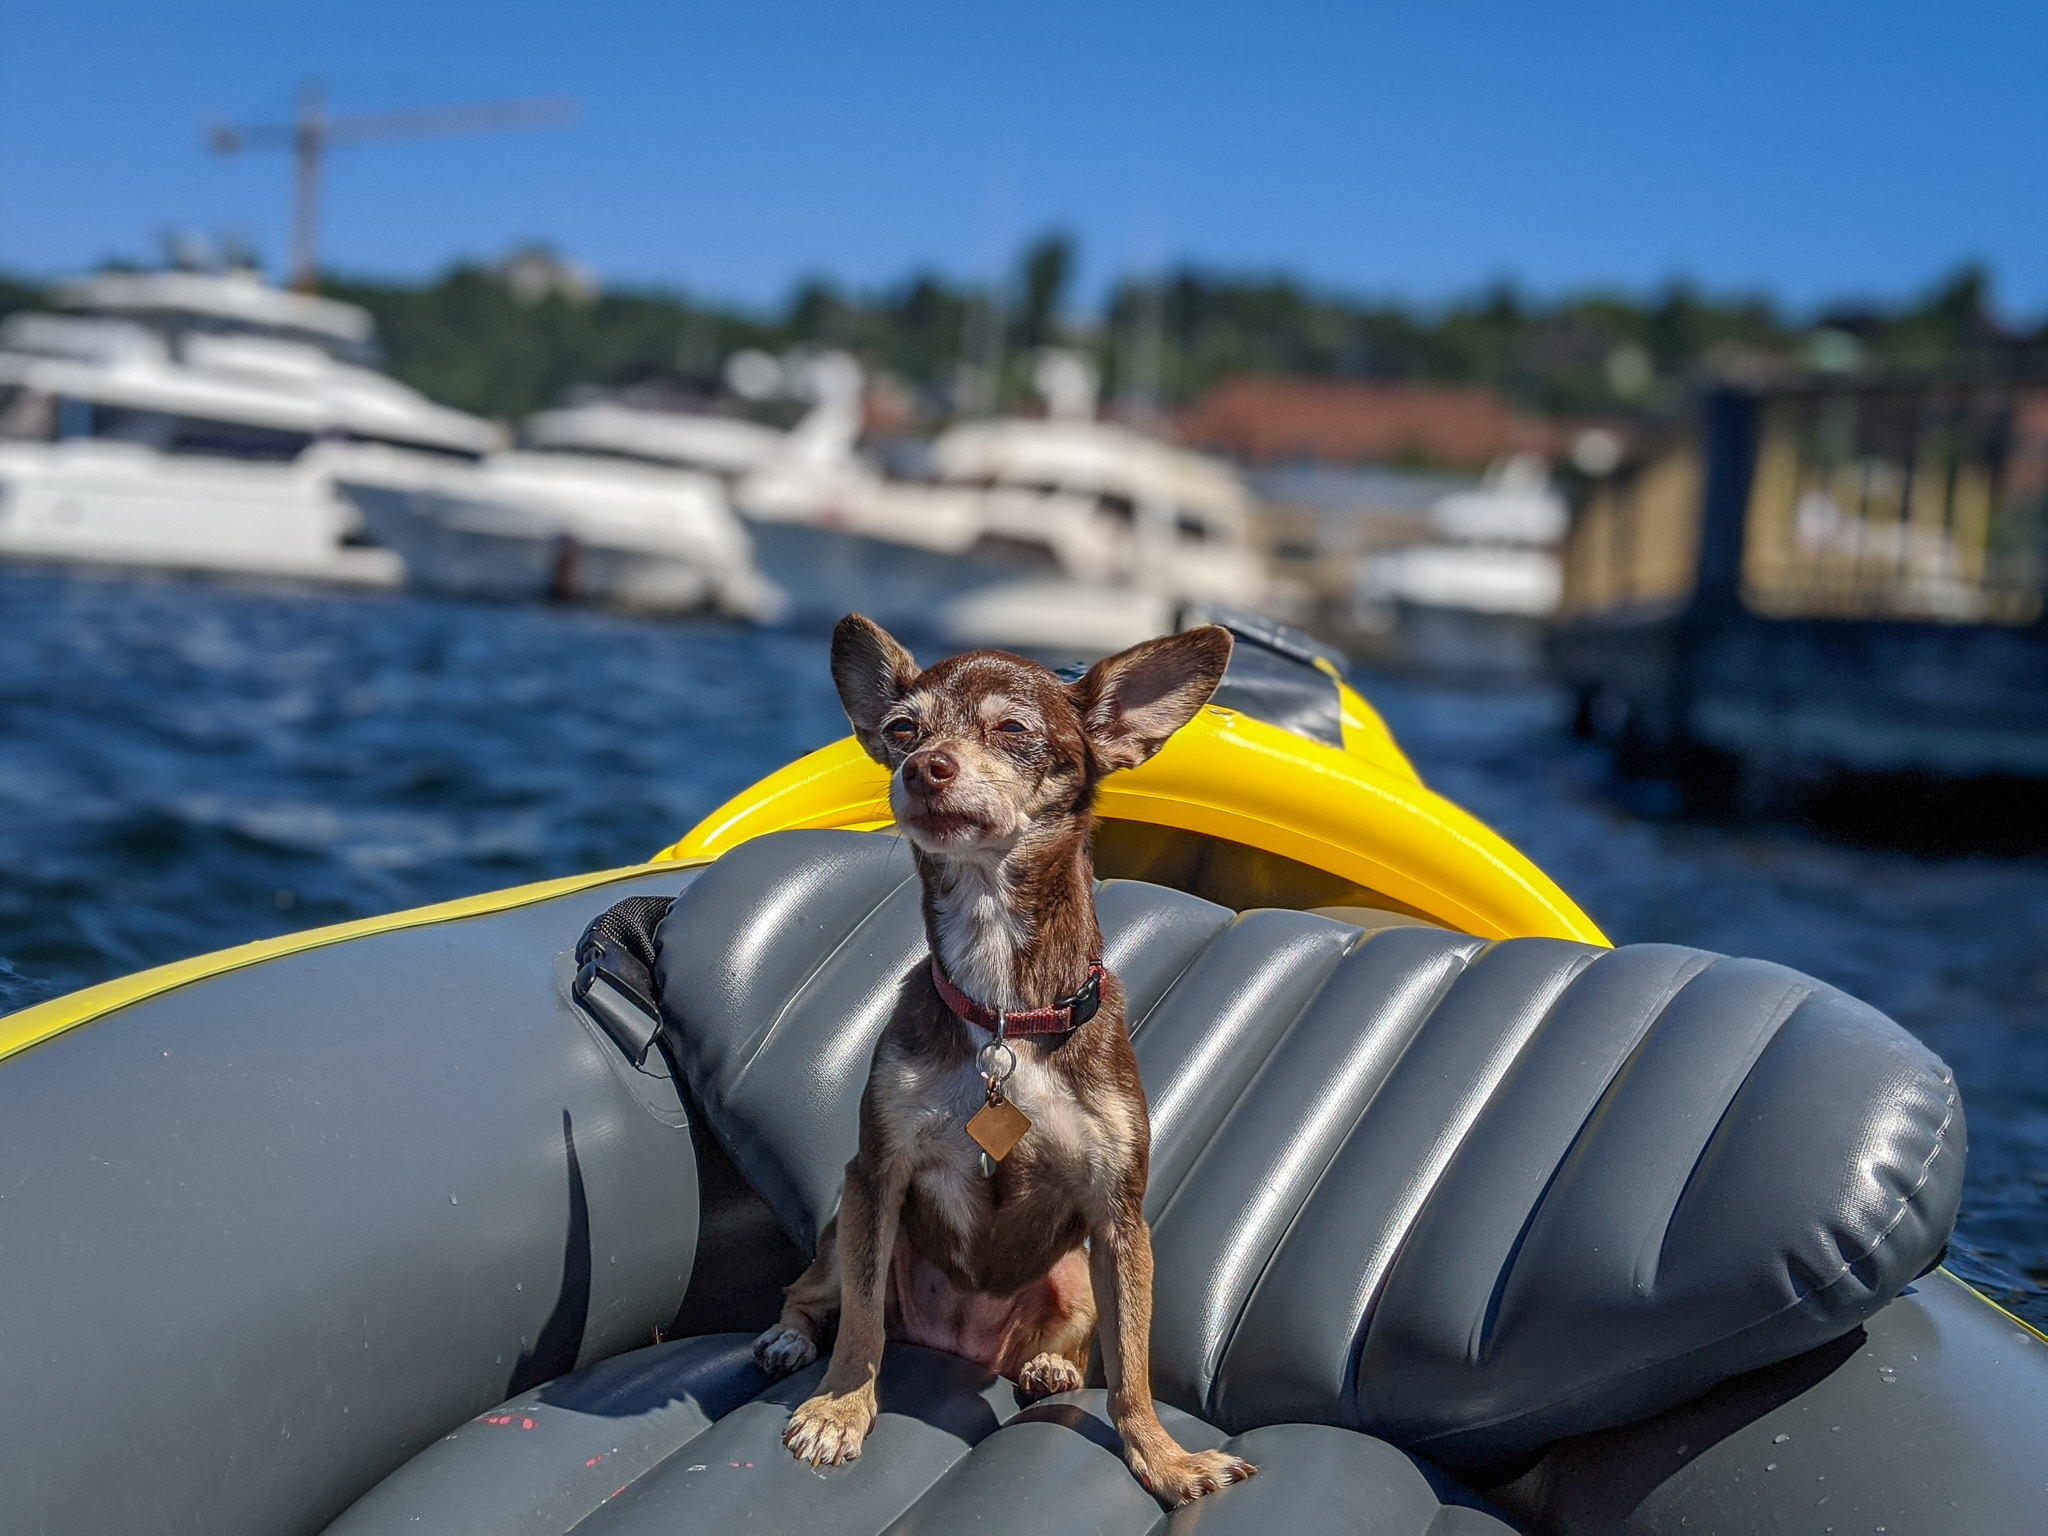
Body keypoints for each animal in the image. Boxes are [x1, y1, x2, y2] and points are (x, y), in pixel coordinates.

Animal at [753, 610, 1253, 1507]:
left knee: (1081, 1345)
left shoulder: (1120, 1218)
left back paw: (1050, 1363)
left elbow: (1131, 1371)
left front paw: (1164, 1459)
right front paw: (842, 1409)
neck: (1003, 1010)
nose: (923, 766)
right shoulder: (874, 1176)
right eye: (902, 729)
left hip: (1078, 1273)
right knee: (818, 1295)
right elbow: (863, 1329)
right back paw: (789, 1339)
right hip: (846, 1225)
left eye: (1013, 731)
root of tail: (963, 1345)